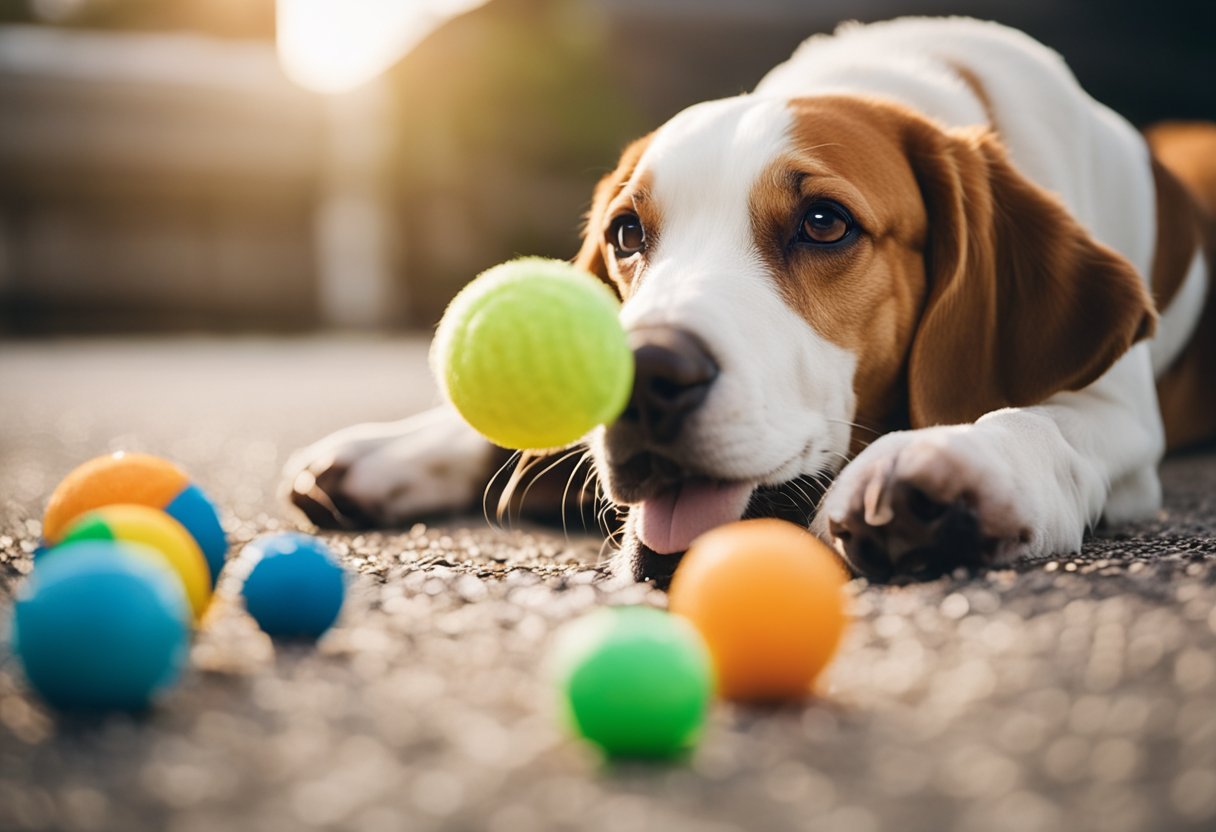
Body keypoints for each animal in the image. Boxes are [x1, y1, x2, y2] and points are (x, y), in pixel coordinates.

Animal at [286, 14, 1216, 583]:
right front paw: (405, 446)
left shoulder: (1119, 417)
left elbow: (1043, 423)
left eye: (824, 223)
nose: (644, 376)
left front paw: (957, 467)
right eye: (628, 233)